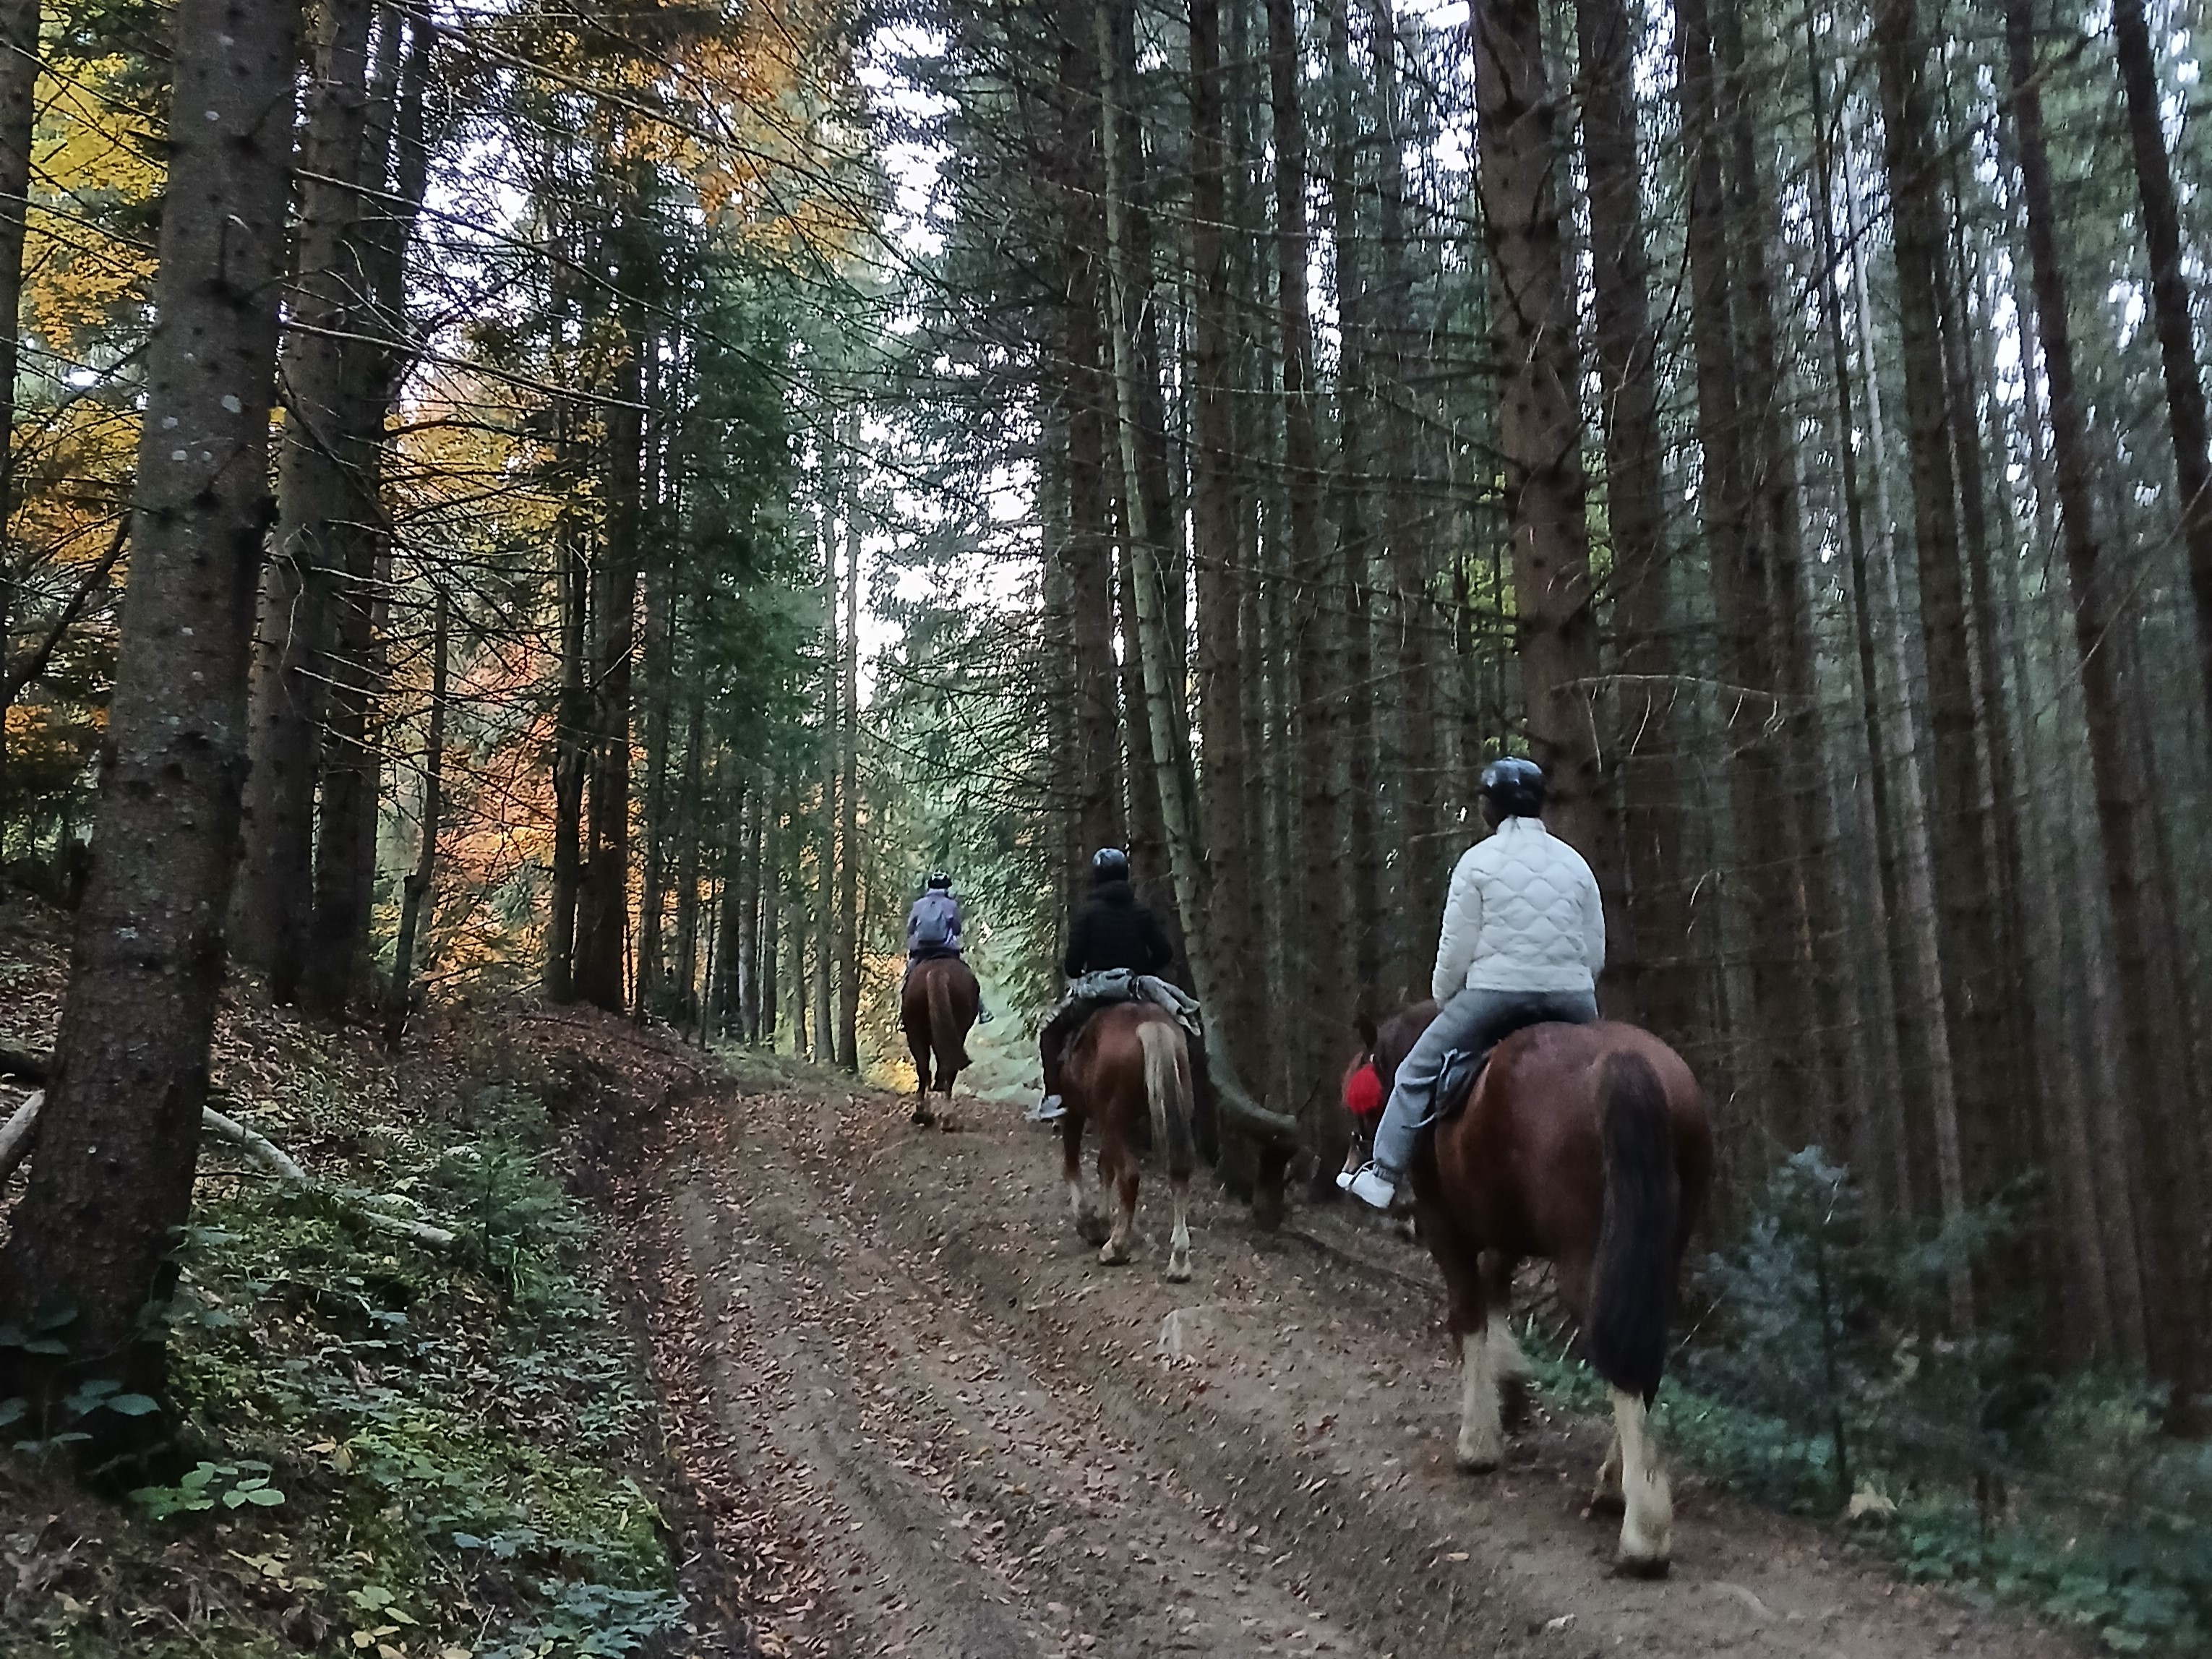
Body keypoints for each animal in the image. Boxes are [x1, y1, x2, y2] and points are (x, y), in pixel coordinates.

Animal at [898, 960, 977, 1132]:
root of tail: (937, 971)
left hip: (916, 1033)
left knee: (924, 1069)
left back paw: (923, 1114)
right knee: (947, 1070)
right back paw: (947, 1119)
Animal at [1061, 1000, 1203, 1282]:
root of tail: (1150, 1025)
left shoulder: (1072, 1110)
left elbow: (1074, 1163)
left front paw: (1088, 1223)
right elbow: (1104, 1168)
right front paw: (1103, 1221)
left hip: (1113, 1121)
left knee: (1128, 1174)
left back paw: (1114, 1249)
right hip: (1170, 1108)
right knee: (1179, 1173)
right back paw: (1179, 1261)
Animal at [1345, 1008, 1707, 1574]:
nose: (1351, 1160)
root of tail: (1627, 1066)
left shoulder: (1445, 1227)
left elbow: (1468, 1314)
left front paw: (1478, 1442)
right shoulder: (1503, 1231)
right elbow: (1496, 1290)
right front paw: (1512, 1388)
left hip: (1587, 1259)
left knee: (1621, 1360)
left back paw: (1643, 1534)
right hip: (1659, 1253)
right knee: (1643, 1353)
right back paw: (1617, 1486)